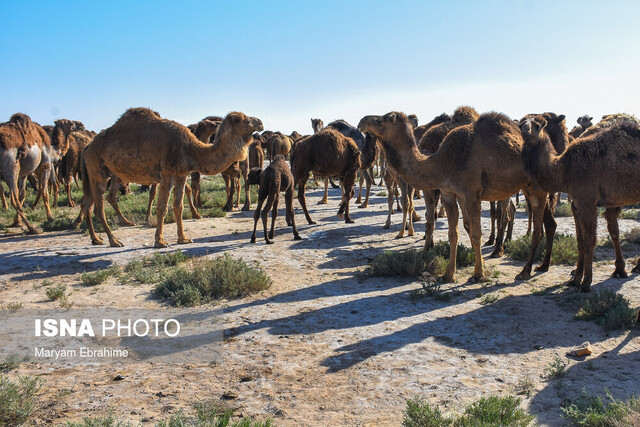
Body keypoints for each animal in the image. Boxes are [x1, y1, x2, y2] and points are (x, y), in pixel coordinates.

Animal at [80, 108, 262, 249]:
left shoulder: (181, 175)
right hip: (97, 172)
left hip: (101, 174)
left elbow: (178, 206)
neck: (190, 149)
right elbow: (162, 208)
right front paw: (160, 241)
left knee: (88, 203)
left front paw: (183, 239)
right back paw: (114, 240)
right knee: (98, 208)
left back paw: (97, 239)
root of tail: (87, 147)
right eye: (245, 120)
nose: (260, 122)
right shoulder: (167, 175)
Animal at [360, 110, 556, 284]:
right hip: (527, 187)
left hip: (538, 187)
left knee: (537, 230)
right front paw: (448, 275)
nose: (362, 121)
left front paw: (478, 275)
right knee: (549, 223)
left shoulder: (472, 194)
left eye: (381, 120)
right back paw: (543, 265)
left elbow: (476, 233)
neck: (444, 161)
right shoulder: (450, 193)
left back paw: (525, 271)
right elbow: (453, 233)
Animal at [520, 115, 640, 292]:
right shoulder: (576, 203)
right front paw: (575, 279)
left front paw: (586, 283)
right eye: (521, 123)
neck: (564, 169)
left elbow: (590, 240)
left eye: (537, 125)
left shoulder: (587, 201)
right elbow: (580, 240)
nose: (525, 129)